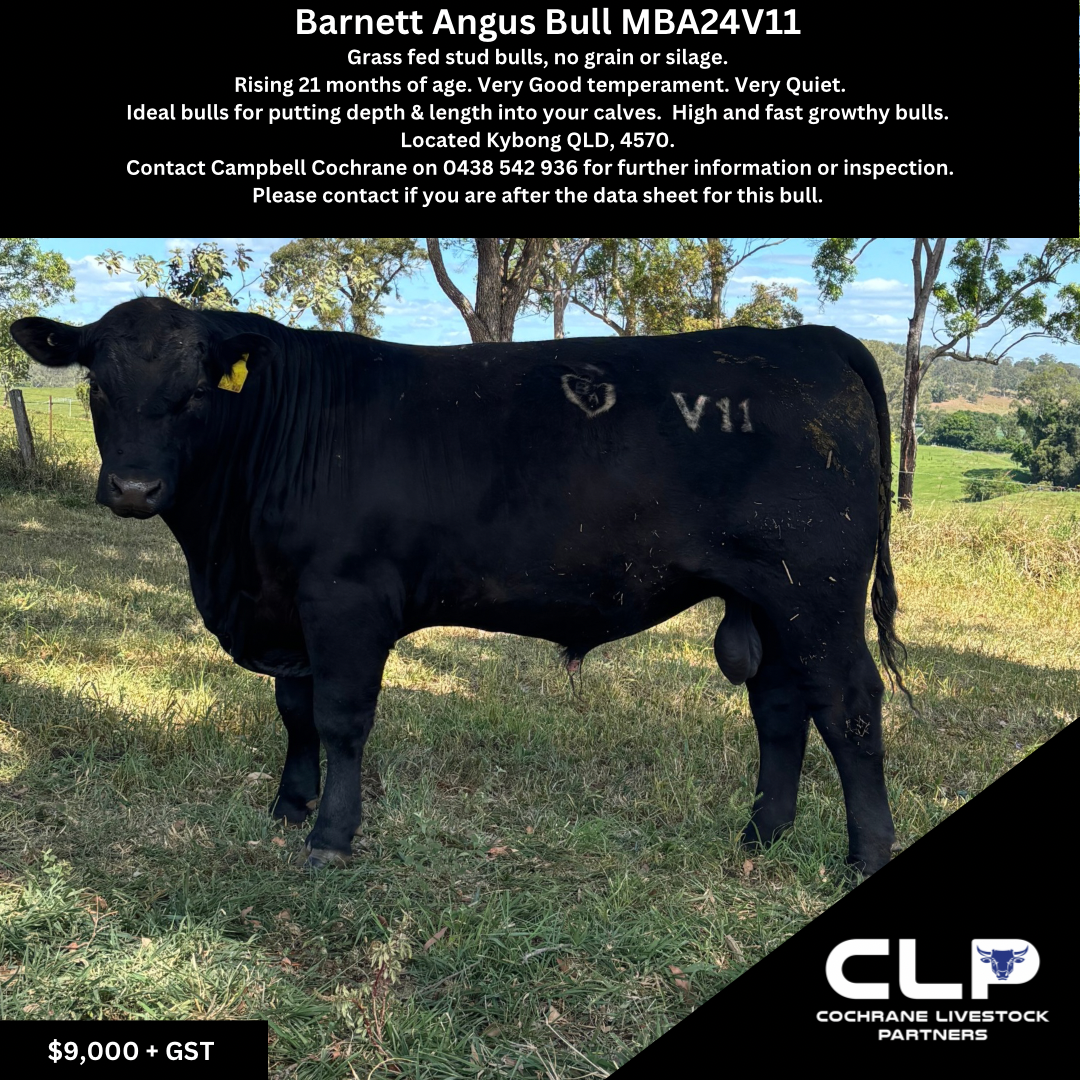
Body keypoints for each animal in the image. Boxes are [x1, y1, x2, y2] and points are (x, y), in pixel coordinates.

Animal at [12, 297, 908, 874]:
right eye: (97, 385)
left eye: (195, 391)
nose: (133, 489)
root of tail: (811, 337)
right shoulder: (286, 607)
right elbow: (294, 712)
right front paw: (288, 806)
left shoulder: (345, 599)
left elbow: (341, 720)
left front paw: (330, 837)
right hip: (769, 596)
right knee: (782, 707)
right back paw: (760, 837)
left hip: (817, 591)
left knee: (850, 706)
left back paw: (862, 856)